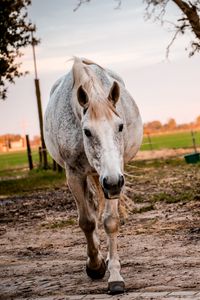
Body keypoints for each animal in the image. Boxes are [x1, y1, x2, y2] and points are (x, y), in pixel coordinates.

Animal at [44, 56, 143, 296]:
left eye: (120, 126)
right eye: (87, 131)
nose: (113, 182)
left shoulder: (115, 176)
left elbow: (110, 221)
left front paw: (115, 276)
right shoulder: (74, 174)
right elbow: (87, 222)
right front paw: (95, 265)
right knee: (89, 205)